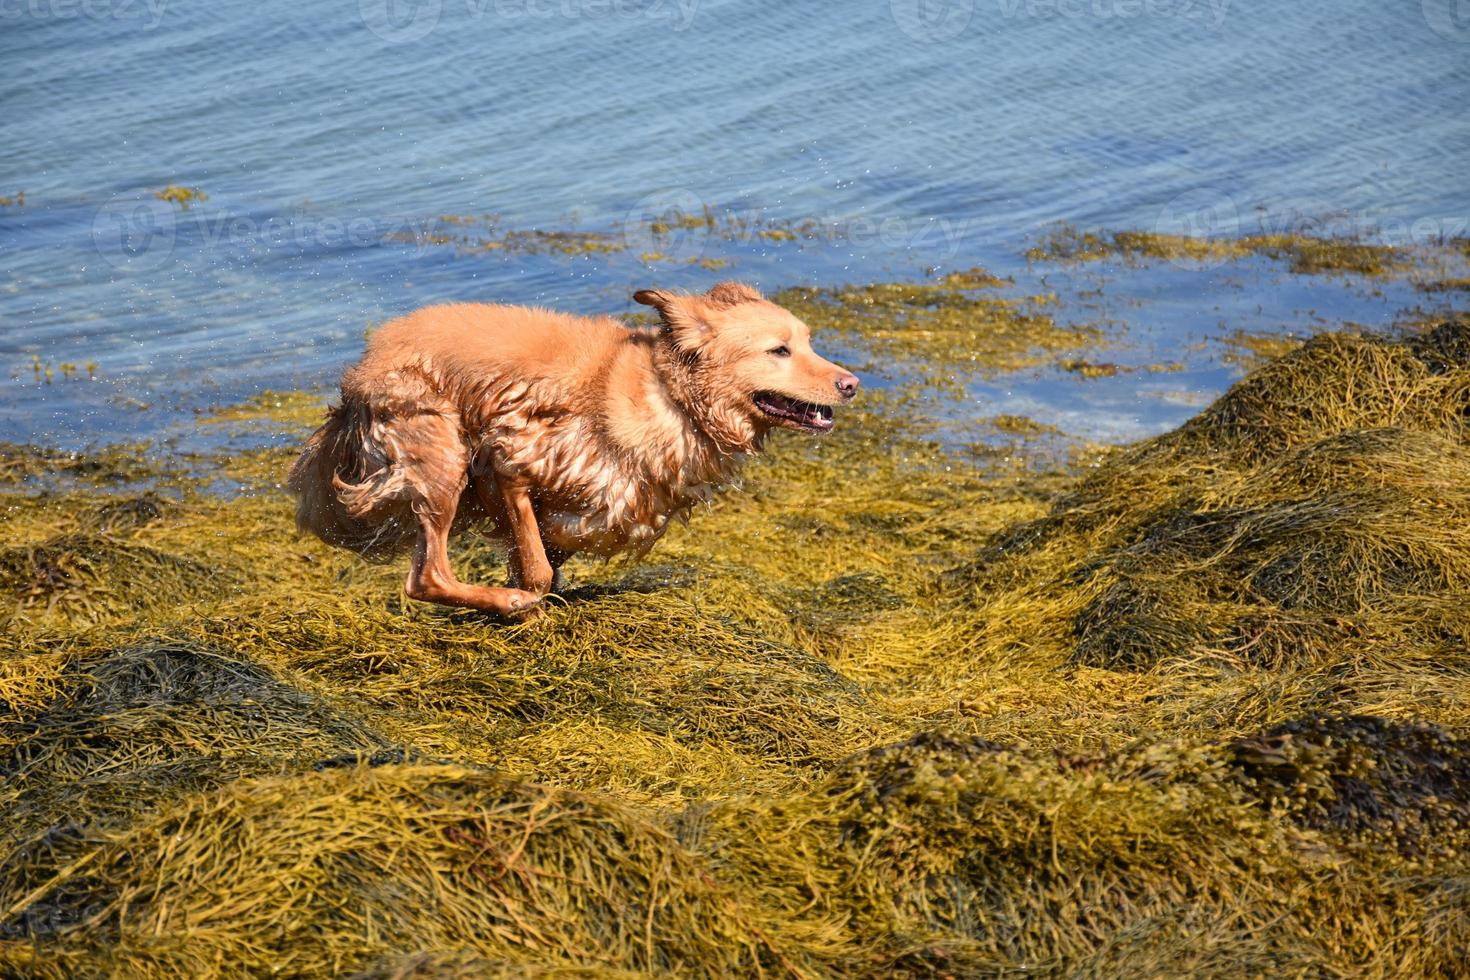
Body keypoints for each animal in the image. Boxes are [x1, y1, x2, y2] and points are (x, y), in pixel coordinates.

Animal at [288, 279, 858, 614]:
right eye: (779, 351)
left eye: (807, 342)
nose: (852, 384)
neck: (667, 396)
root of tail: (361, 371)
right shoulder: (509, 461)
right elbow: (539, 567)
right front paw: (529, 598)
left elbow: (544, 553)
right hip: (443, 456)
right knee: (427, 577)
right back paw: (506, 601)